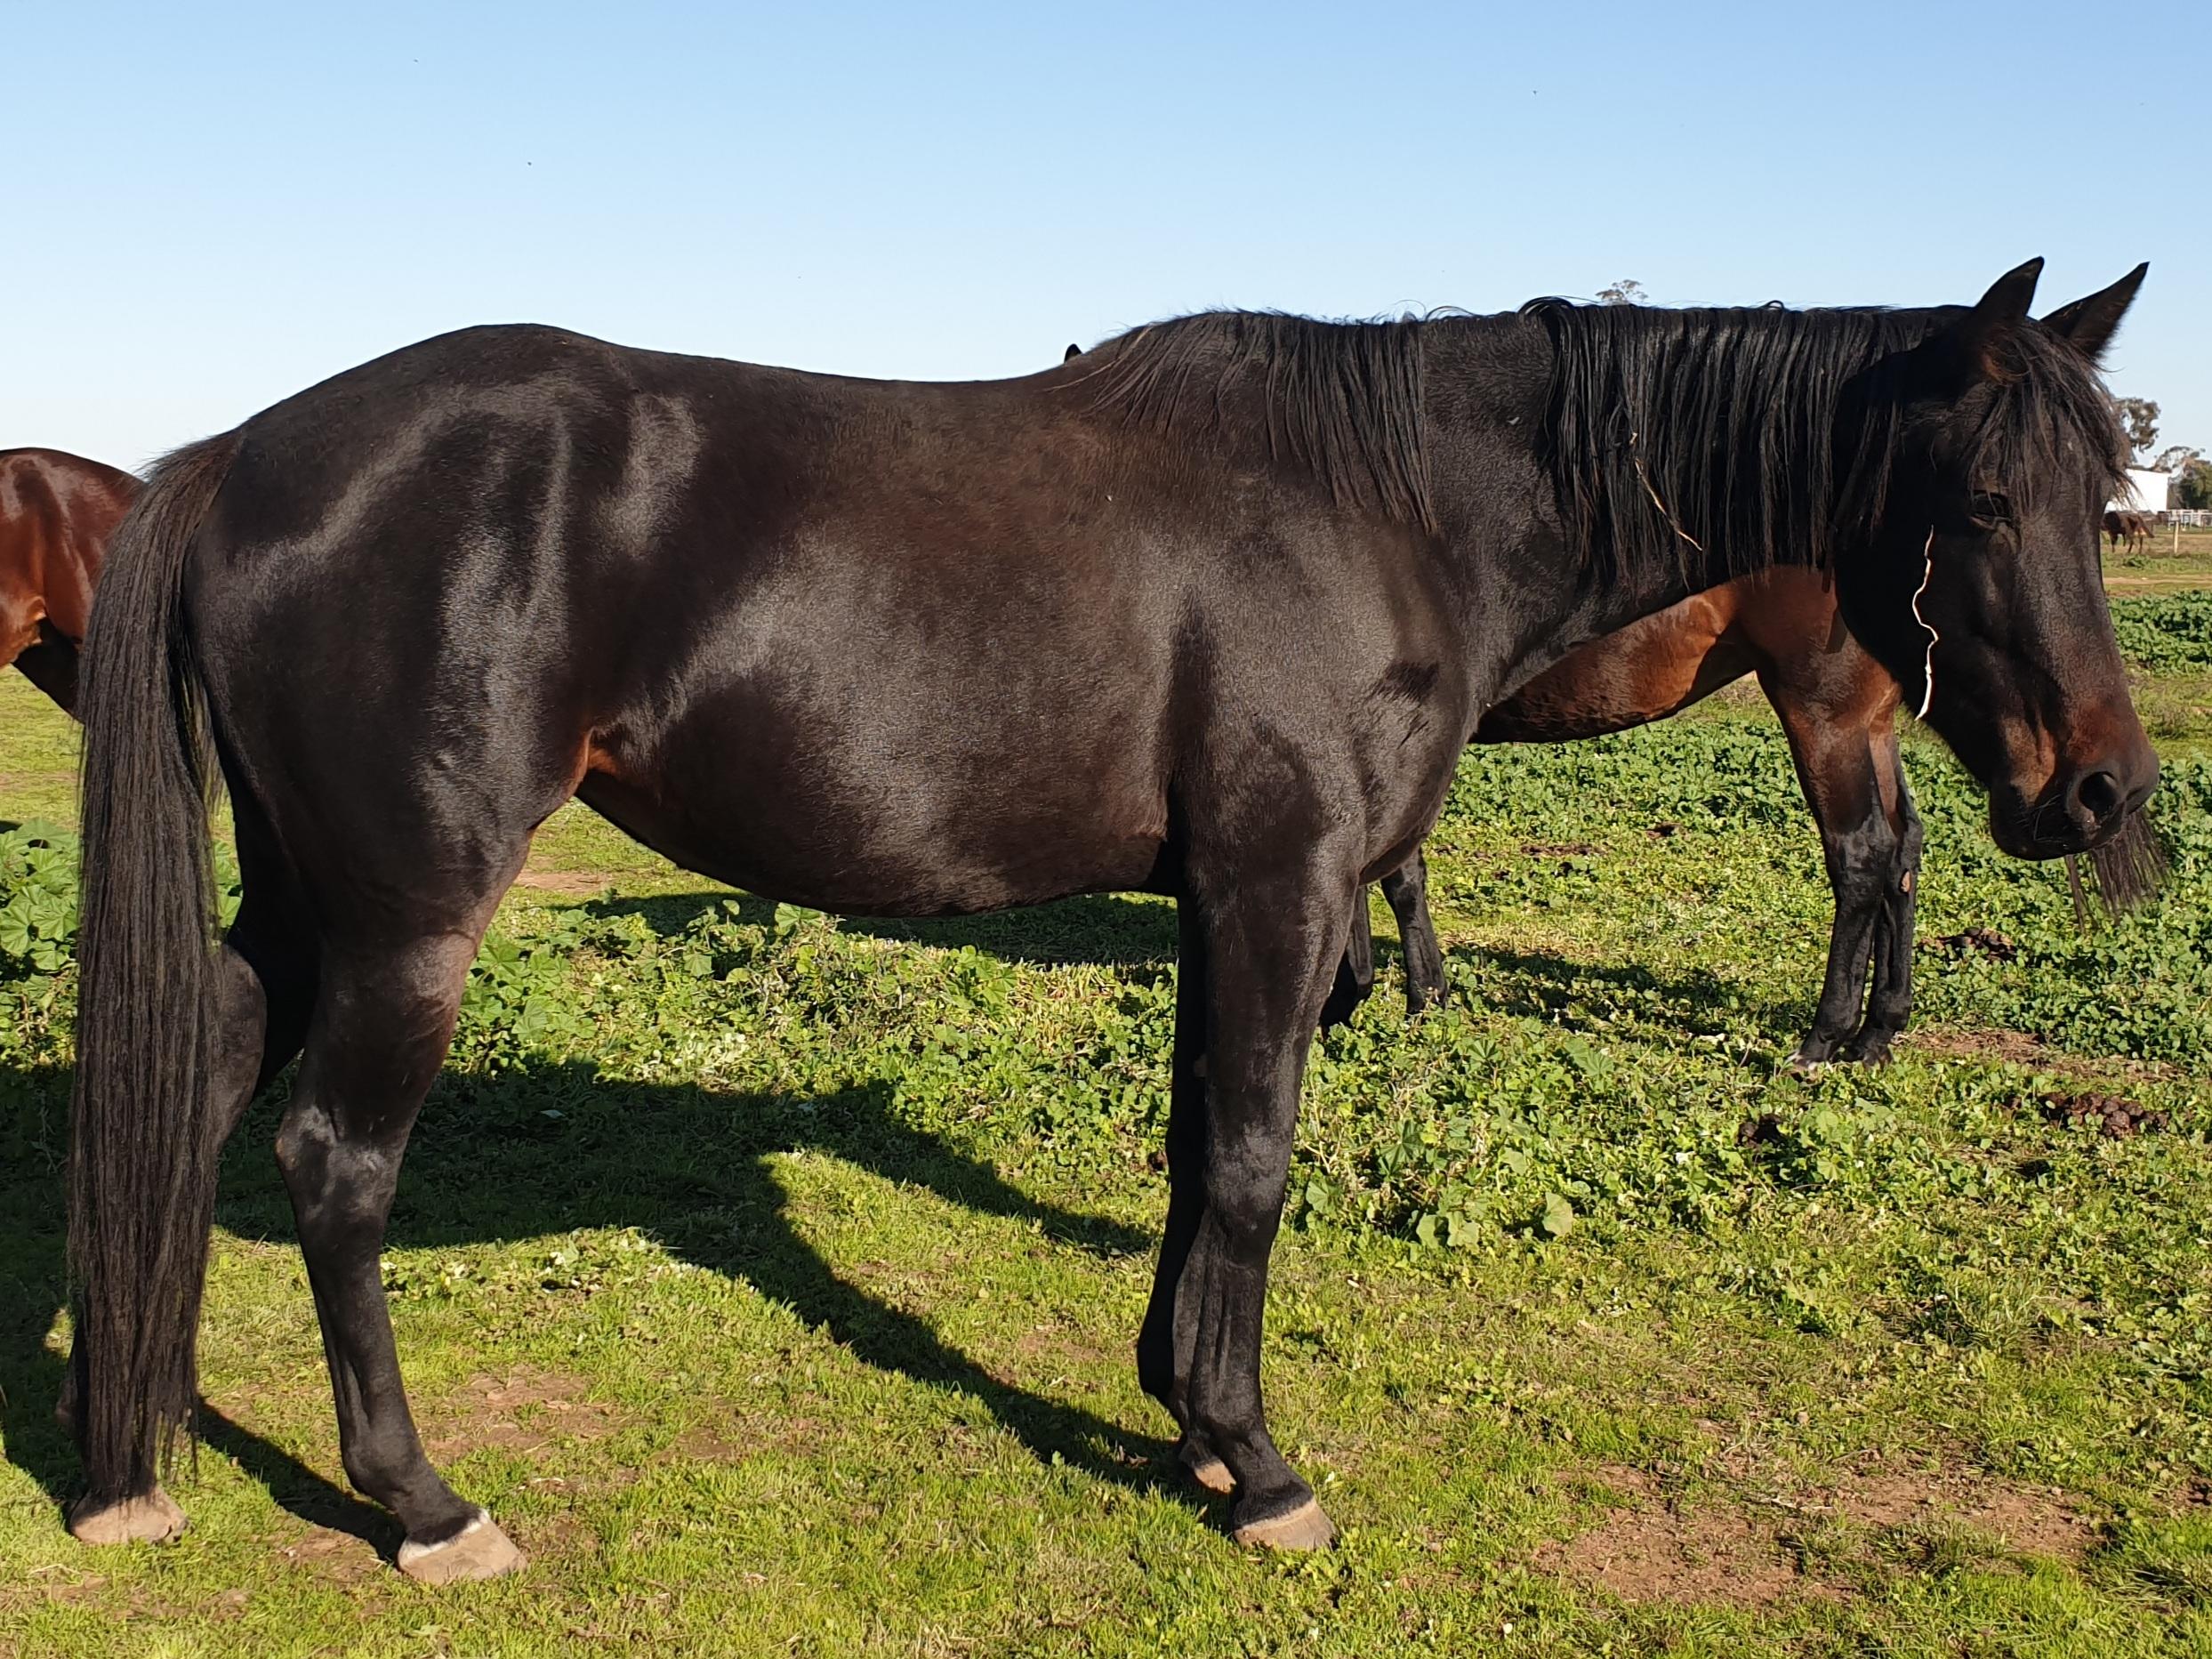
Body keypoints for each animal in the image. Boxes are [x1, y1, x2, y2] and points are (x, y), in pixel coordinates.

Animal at [64, 260, 2154, 1575]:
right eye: (1981, 498)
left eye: (2107, 486)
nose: (2103, 794)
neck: (1390, 501)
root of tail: (237, 458)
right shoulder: (1283, 881)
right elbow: (1249, 1160)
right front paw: (1260, 1465)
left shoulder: (1232, 899)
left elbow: (1189, 1150)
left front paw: (1185, 1411)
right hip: (410, 912)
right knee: (333, 1165)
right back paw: (418, 1502)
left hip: (304, 901)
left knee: (189, 1094)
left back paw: (123, 1448)